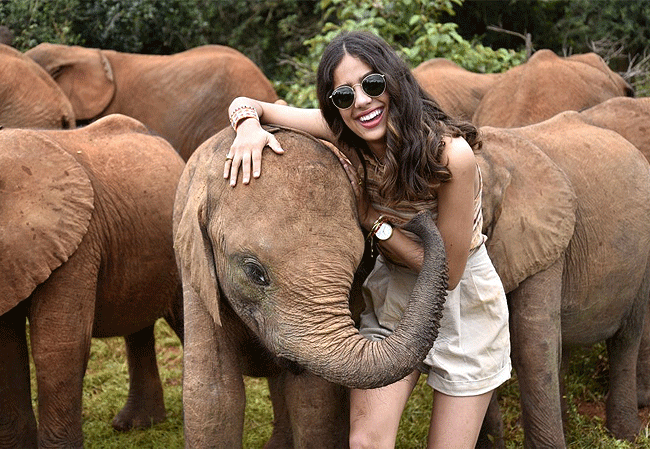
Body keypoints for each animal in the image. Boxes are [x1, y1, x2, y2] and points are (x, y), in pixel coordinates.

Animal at [170, 125, 448, 446]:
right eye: (254, 272)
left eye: (359, 266)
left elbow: (314, 399)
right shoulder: (194, 268)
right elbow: (214, 394)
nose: (417, 219)